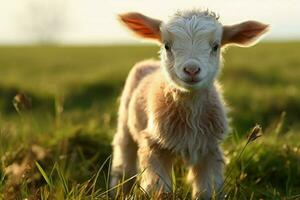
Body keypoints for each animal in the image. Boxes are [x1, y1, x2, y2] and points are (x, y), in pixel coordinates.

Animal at [110, 9, 270, 198]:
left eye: (215, 46)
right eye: (167, 45)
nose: (192, 70)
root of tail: (151, 63)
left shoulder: (209, 150)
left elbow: (207, 191)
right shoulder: (155, 147)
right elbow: (160, 191)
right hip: (125, 121)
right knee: (124, 156)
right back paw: (119, 189)